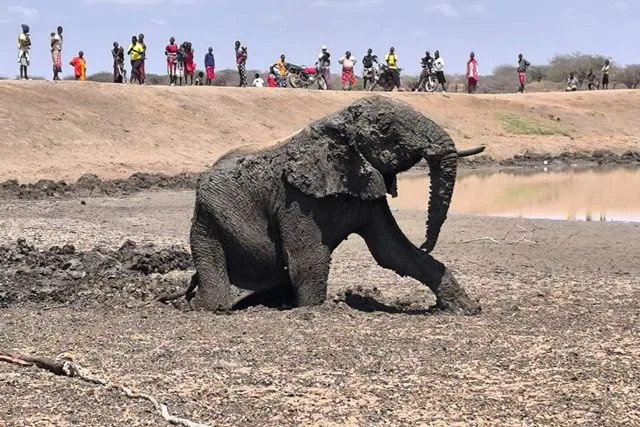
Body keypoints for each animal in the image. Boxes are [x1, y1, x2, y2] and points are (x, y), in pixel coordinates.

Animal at [188, 96, 484, 314]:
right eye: (386, 129)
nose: (426, 242)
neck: (336, 123)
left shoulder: (367, 192)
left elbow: (394, 253)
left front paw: (466, 308)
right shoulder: (296, 198)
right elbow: (307, 261)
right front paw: (311, 310)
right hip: (206, 220)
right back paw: (204, 306)